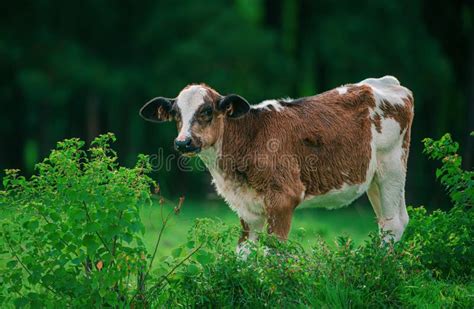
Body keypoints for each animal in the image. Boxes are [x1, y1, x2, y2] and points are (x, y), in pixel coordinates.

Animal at [139, 76, 412, 249]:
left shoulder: (283, 199)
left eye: (206, 111)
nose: (182, 142)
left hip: (392, 168)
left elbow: (273, 254)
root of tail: (385, 82)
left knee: (393, 224)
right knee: (390, 221)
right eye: (176, 114)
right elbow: (244, 255)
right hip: (373, 178)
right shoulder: (247, 209)